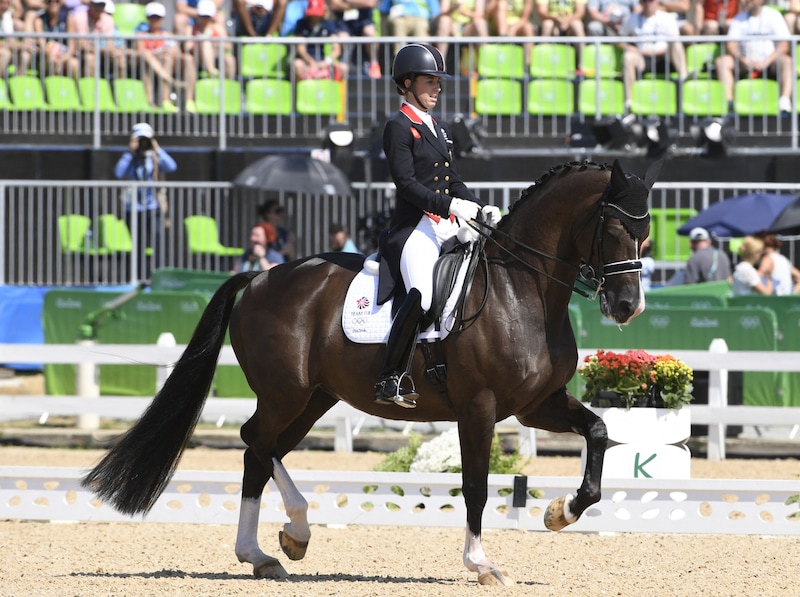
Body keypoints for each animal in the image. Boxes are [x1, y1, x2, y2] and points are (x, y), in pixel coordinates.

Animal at [81, 156, 660, 584]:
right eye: (612, 225)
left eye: (647, 231)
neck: (522, 289)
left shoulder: (537, 405)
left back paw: (277, 547)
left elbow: (598, 432)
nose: (627, 306)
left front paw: (560, 512)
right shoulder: (479, 408)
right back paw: (279, 540)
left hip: (315, 398)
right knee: (256, 442)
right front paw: (481, 564)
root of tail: (260, 277)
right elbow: (475, 485)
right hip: (287, 393)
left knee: (259, 451)